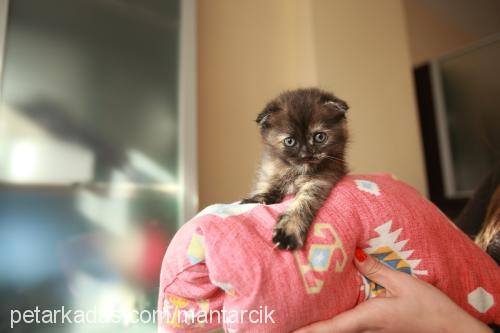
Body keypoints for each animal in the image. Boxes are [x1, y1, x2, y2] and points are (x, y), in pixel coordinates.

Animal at [241, 88, 348, 249]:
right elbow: (266, 187)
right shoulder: (269, 172)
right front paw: (258, 199)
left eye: (320, 137)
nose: (306, 154)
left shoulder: (320, 181)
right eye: (290, 141)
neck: (296, 171)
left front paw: (289, 229)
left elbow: (303, 203)